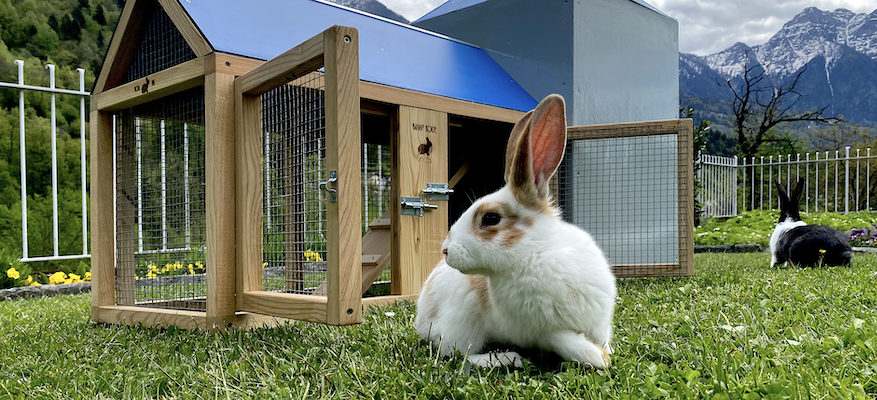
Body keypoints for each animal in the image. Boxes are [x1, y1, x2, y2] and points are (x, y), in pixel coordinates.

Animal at [414, 94, 616, 369]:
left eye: (490, 218)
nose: (445, 250)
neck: (536, 254)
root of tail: (421, 320)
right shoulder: (541, 330)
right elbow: (563, 339)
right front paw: (597, 357)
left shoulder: (599, 322)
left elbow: (601, 336)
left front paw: (606, 351)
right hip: (462, 318)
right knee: (457, 353)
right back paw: (505, 358)